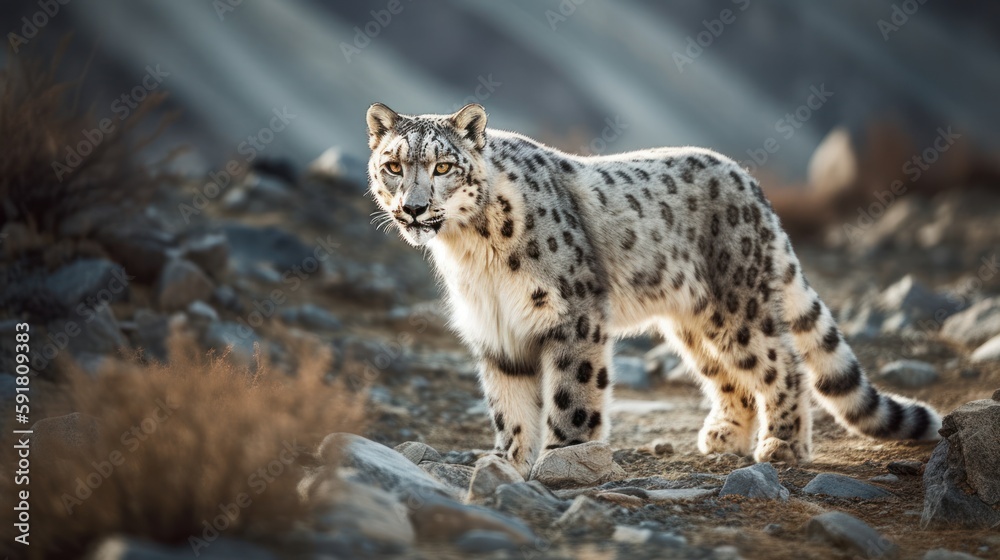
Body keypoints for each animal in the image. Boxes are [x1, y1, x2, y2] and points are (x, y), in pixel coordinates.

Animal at [365, 102, 941, 478]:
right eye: (393, 165)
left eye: (443, 166)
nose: (413, 208)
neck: (470, 254)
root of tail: (753, 187)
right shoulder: (498, 333)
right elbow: (511, 410)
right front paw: (507, 464)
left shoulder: (573, 316)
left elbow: (572, 396)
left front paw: (563, 459)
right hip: (693, 327)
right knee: (731, 379)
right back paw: (724, 438)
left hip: (739, 310)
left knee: (785, 365)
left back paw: (781, 444)